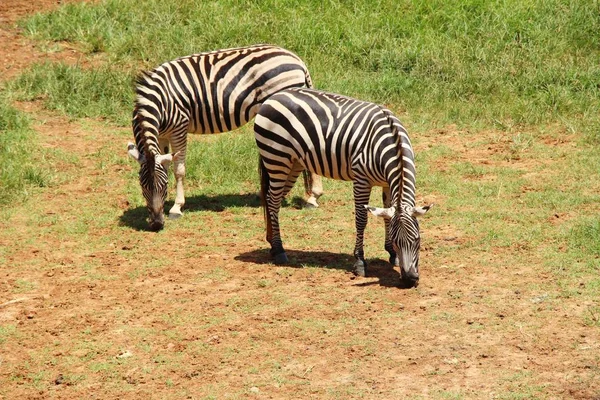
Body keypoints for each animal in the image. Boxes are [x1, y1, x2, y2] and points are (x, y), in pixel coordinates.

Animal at [126, 43, 324, 231]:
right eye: (143, 187)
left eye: (164, 185)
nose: (156, 225)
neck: (160, 102)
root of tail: (297, 60)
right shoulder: (162, 135)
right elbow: (166, 165)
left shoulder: (179, 128)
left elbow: (179, 170)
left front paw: (176, 208)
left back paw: (312, 199)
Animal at [255, 88, 434, 288]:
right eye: (397, 241)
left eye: (417, 240)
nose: (410, 280)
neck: (392, 144)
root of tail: (274, 96)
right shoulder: (361, 180)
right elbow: (361, 220)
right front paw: (360, 262)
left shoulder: (388, 184)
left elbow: (387, 217)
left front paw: (392, 255)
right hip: (277, 158)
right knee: (272, 201)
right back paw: (279, 250)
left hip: (293, 164)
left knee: (272, 200)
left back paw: (272, 244)